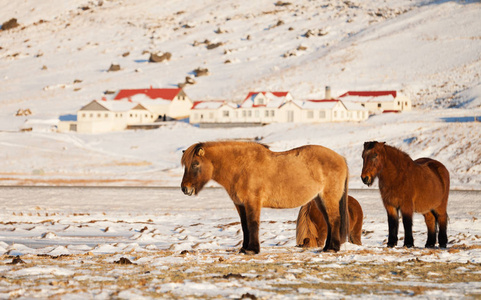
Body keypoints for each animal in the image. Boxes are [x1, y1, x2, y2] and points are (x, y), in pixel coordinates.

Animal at [180, 141, 348, 253]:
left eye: (195, 164)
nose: (184, 189)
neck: (240, 167)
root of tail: (341, 158)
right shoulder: (240, 204)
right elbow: (245, 226)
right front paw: (244, 248)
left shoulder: (252, 202)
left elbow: (253, 224)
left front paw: (252, 249)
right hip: (319, 199)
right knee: (329, 221)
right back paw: (327, 247)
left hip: (328, 197)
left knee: (334, 219)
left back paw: (332, 248)